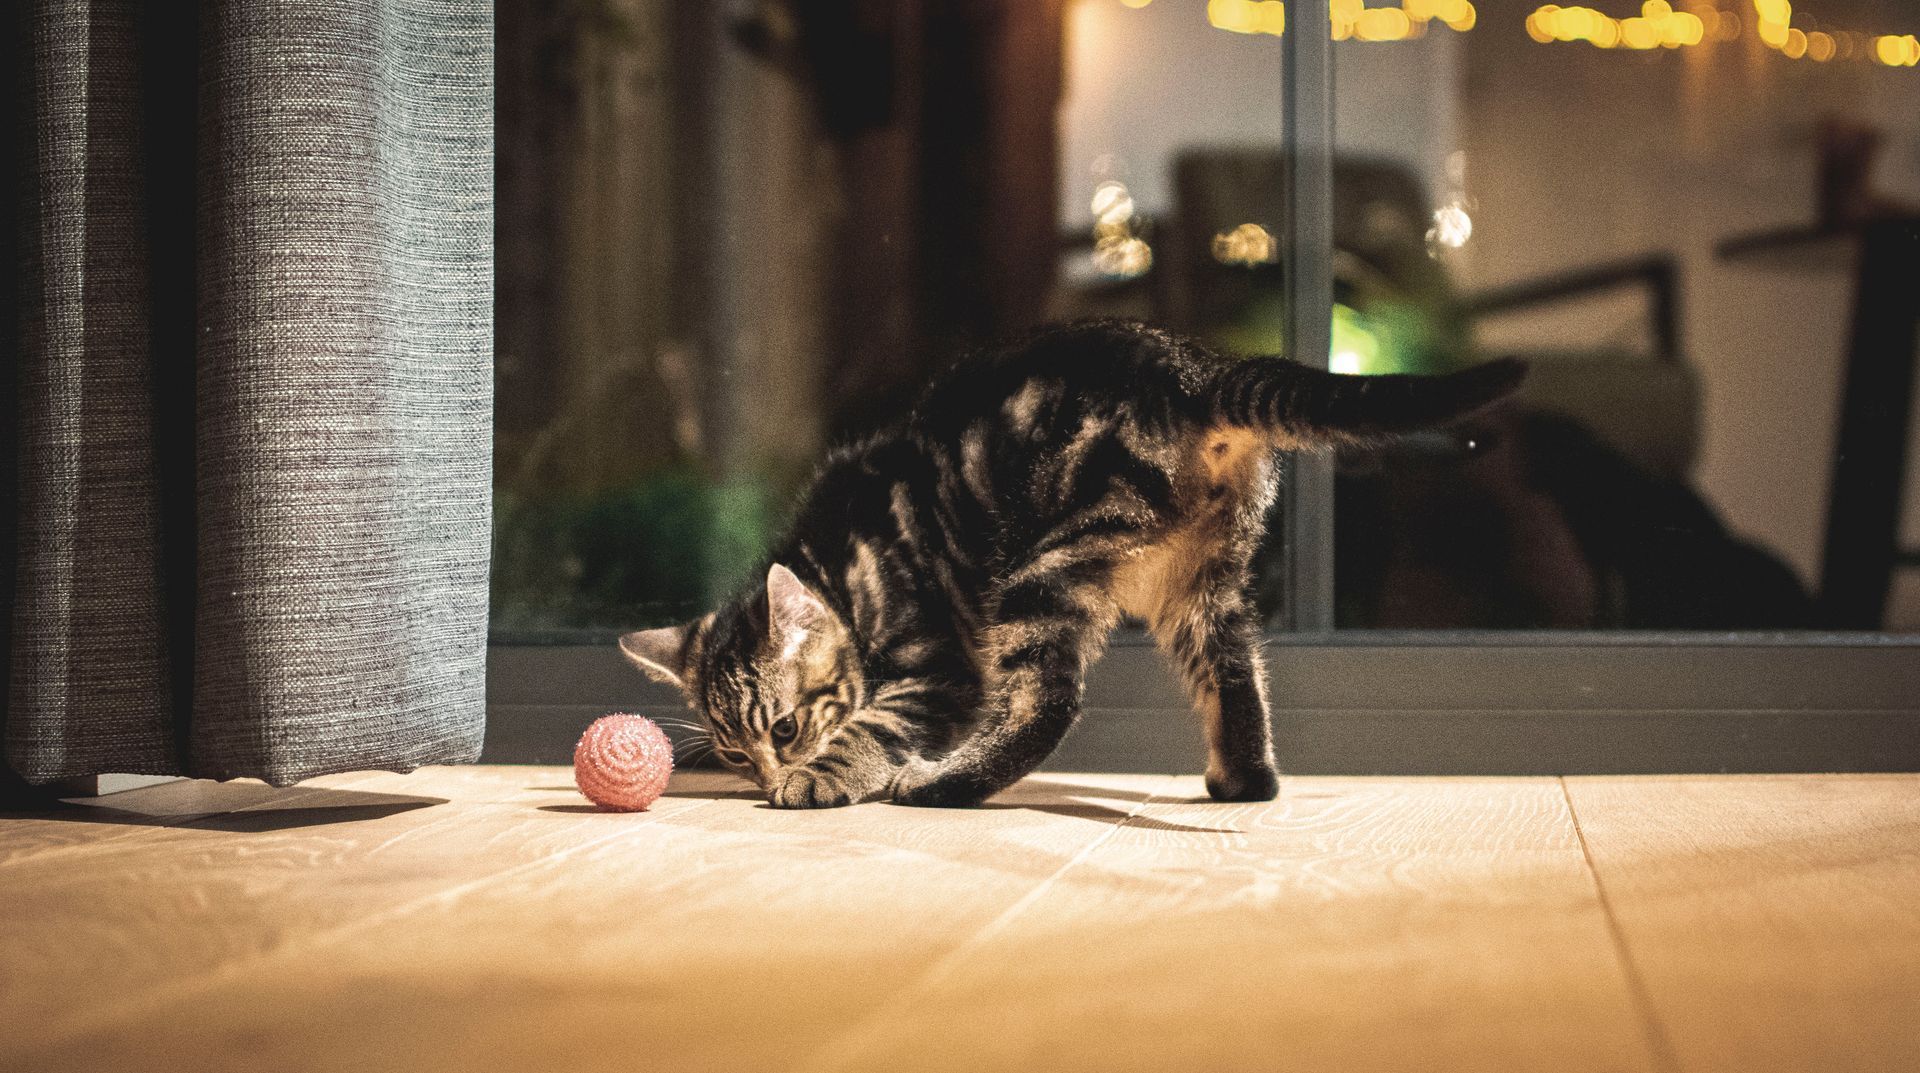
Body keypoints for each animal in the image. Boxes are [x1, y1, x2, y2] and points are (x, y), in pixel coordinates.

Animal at [622, 322, 1520, 810]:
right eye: (735, 752)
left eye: (783, 728)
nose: (765, 773)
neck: (844, 572)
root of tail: (1188, 370)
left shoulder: (938, 670)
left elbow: (869, 724)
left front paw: (820, 775)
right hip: (1201, 589)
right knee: (1236, 678)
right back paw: (1243, 779)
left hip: (1040, 570)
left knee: (1047, 705)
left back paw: (943, 783)